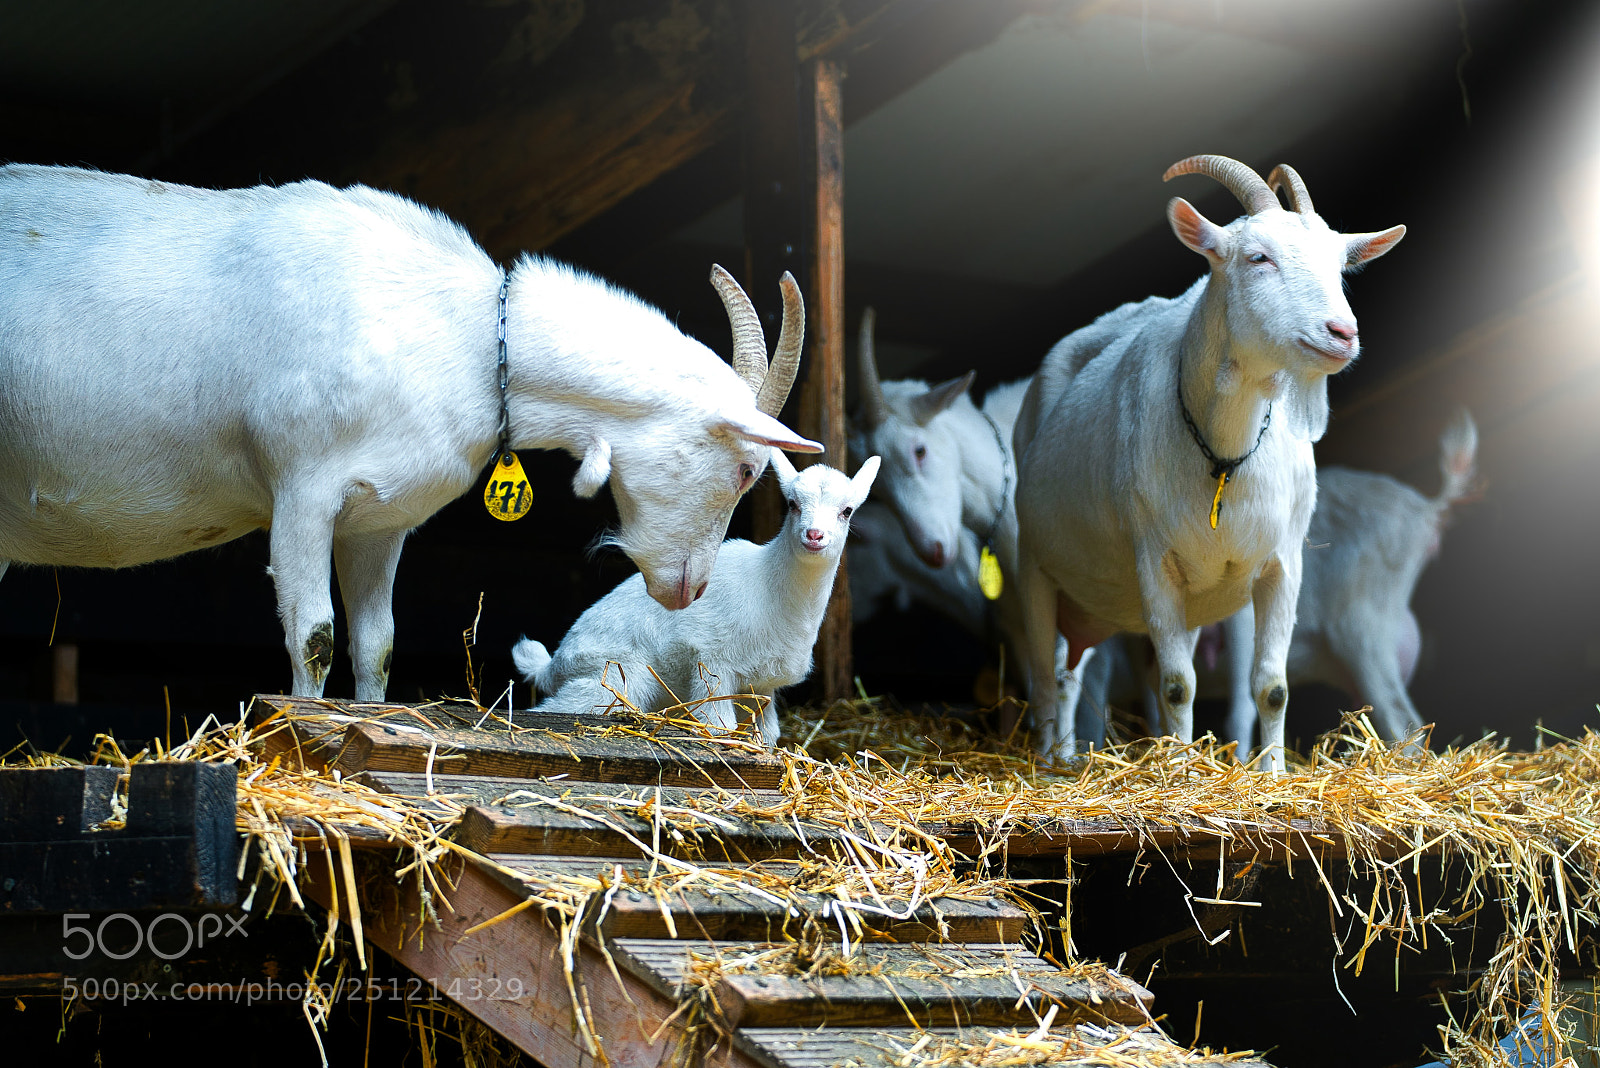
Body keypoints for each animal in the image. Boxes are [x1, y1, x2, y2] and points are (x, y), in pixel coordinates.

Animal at [0, 165, 819, 700]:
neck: (462, 333)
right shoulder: (303, 488)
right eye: (748, 470)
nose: (690, 589)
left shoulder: (377, 518)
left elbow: (377, 647)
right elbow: (313, 636)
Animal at [514, 451, 880, 744]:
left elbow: (767, 733)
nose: (814, 535)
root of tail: (552, 666)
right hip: (610, 679)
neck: (769, 586)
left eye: (847, 510)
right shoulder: (713, 659)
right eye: (792, 504)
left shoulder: (759, 686)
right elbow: (719, 724)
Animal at [1012, 155, 1406, 770]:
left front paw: (1272, 773)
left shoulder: (1281, 563)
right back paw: (1052, 767)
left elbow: (1272, 686)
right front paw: (1179, 772)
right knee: (1047, 674)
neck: (1226, 453)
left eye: (1341, 267)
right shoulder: (1154, 559)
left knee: (1068, 672)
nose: (1342, 334)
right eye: (1258, 257)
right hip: (1033, 562)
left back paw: (1070, 760)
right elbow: (1177, 685)